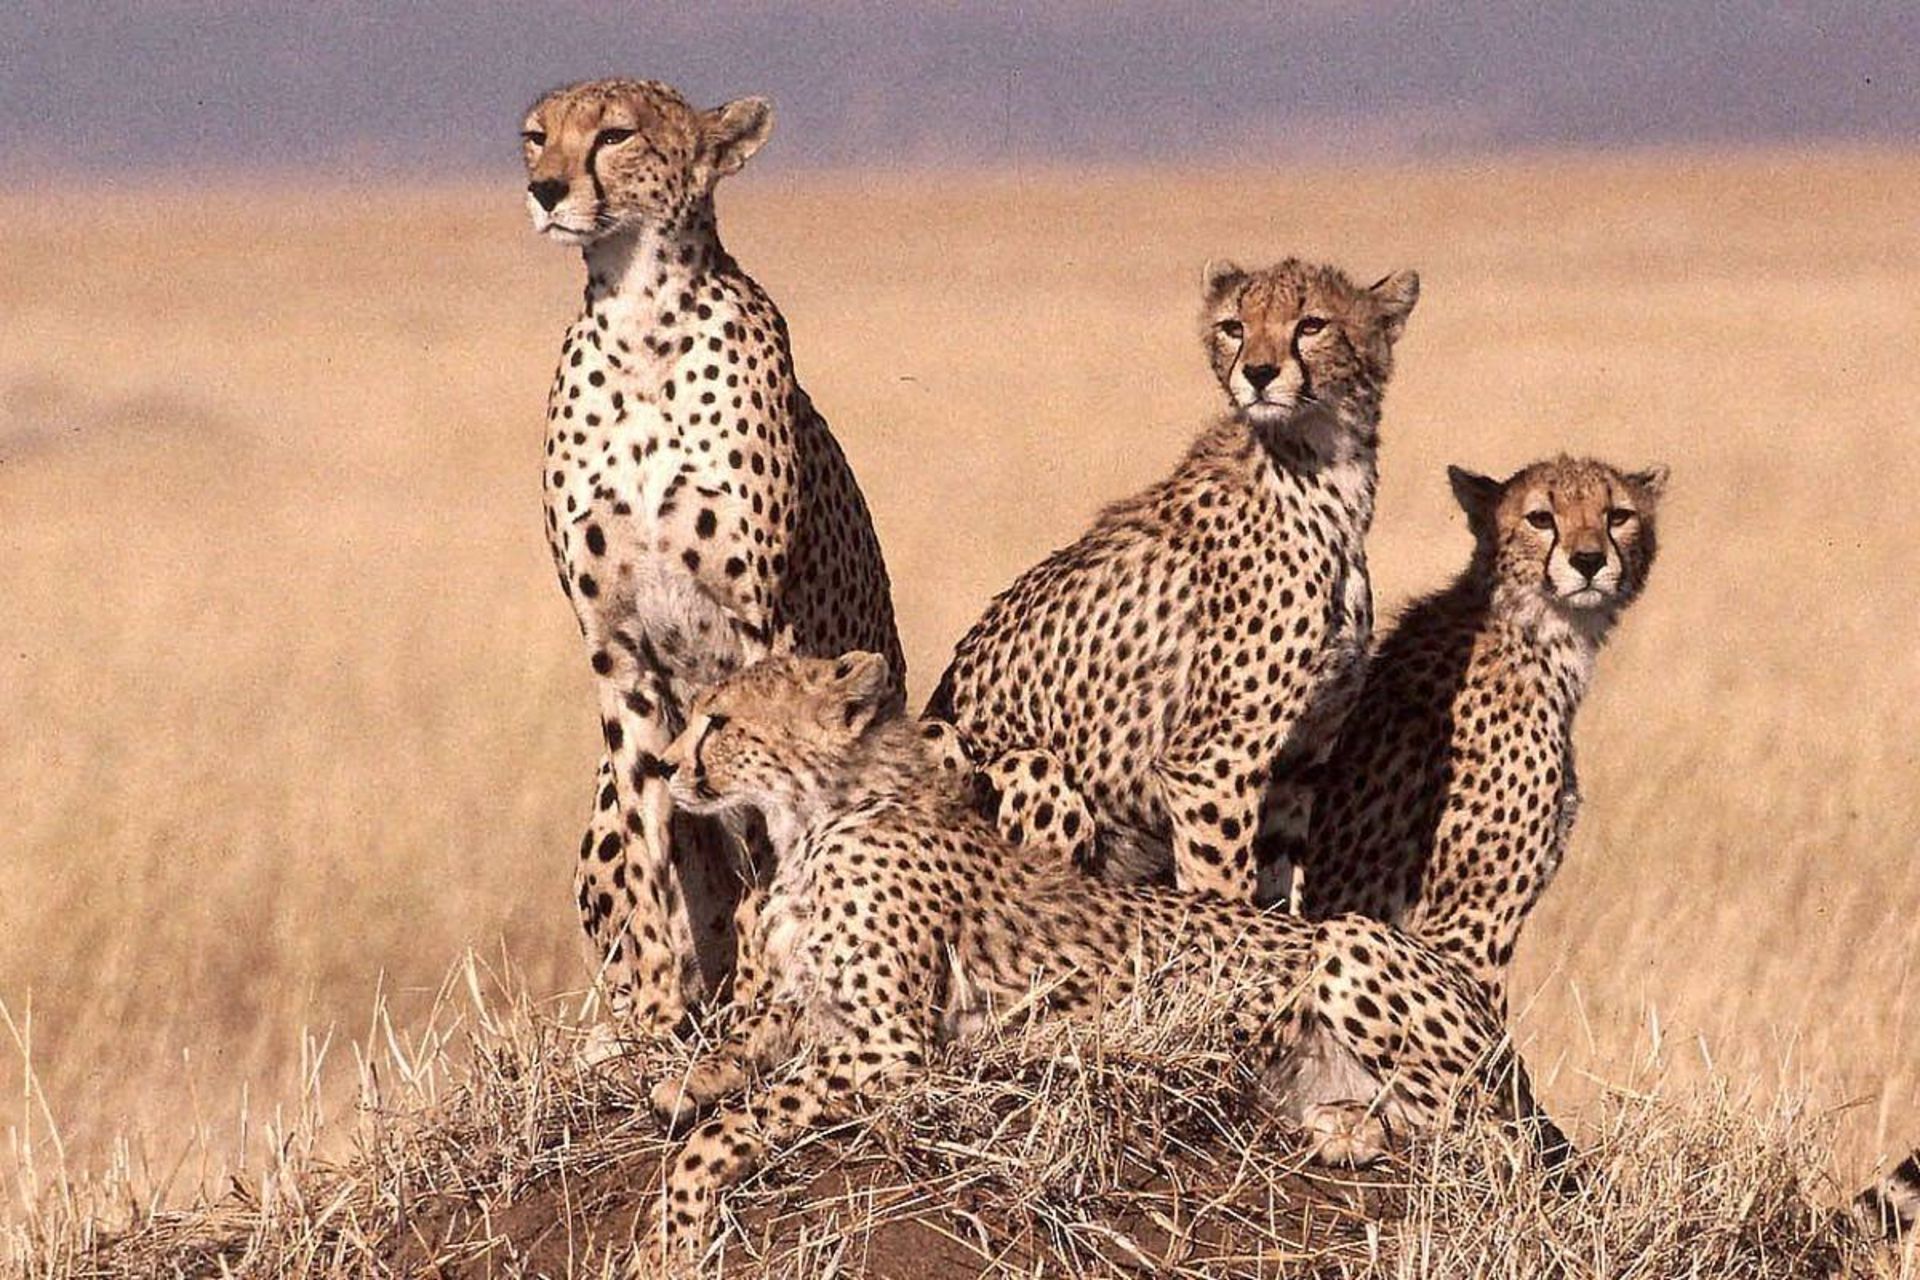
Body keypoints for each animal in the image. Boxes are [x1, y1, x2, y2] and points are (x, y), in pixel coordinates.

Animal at [521, 78, 904, 1043]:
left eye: (615, 136)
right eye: (536, 137)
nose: (544, 190)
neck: (640, 321)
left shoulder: (764, 630)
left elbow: (763, 827)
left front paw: (768, 991)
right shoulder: (618, 652)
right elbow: (652, 848)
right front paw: (658, 1014)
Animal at [639, 652, 1569, 1267]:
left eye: (720, 722)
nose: (664, 763)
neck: (822, 817)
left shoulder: (894, 1046)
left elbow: (735, 1124)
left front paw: (673, 1225)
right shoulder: (818, 1010)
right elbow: (748, 1039)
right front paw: (684, 1082)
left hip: (1352, 944)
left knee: (1502, 1150)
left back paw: (1364, 1133)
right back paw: (1346, 1123)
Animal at [925, 256, 1420, 902]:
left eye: (1312, 324)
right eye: (1234, 326)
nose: (1258, 373)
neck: (1322, 472)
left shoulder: (1299, 761)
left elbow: (1279, 892)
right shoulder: (1213, 762)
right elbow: (1223, 885)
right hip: (1004, 757)